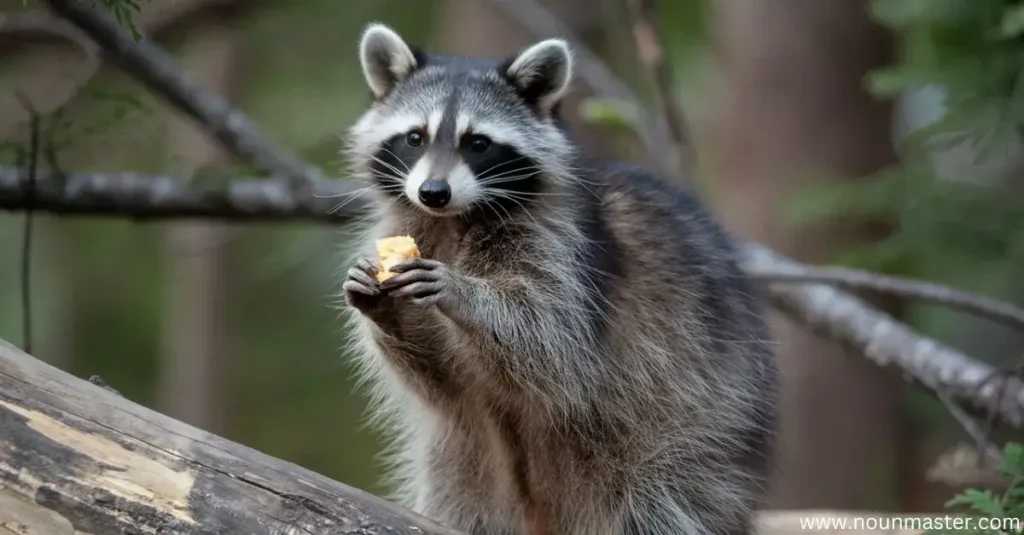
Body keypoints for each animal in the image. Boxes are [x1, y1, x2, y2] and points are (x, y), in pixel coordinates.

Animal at [339, 22, 778, 532]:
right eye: (415, 137)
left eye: (478, 143)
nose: (433, 191)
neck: (454, 220)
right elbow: (440, 379)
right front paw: (383, 306)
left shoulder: (568, 256)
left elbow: (550, 346)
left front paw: (462, 293)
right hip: (466, 463)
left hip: (692, 440)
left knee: (663, 498)